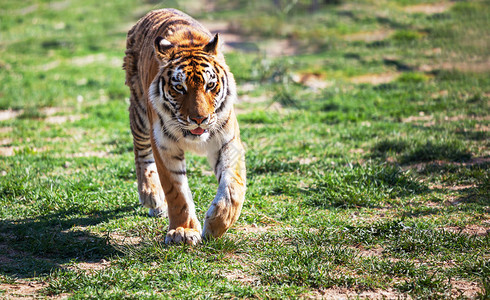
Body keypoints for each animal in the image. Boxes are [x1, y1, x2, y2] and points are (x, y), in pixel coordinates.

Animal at [122, 8, 245, 245]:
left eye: (210, 85)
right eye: (179, 88)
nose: (199, 119)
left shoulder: (227, 142)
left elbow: (233, 188)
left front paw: (216, 224)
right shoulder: (164, 146)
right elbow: (176, 192)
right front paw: (183, 231)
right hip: (140, 113)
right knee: (141, 153)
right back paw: (151, 196)